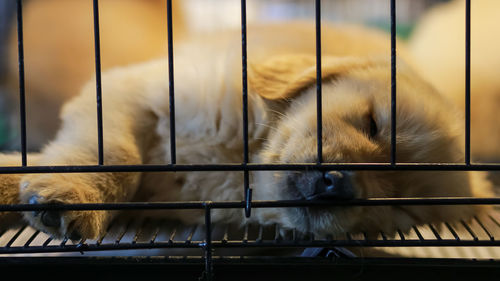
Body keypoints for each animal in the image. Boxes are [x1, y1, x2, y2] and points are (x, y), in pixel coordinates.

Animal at [0, 21, 492, 238]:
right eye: (372, 124)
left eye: (401, 207)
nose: (341, 186)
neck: (241, 163)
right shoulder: (131, 93)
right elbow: (115, 154)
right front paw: (72, 195)